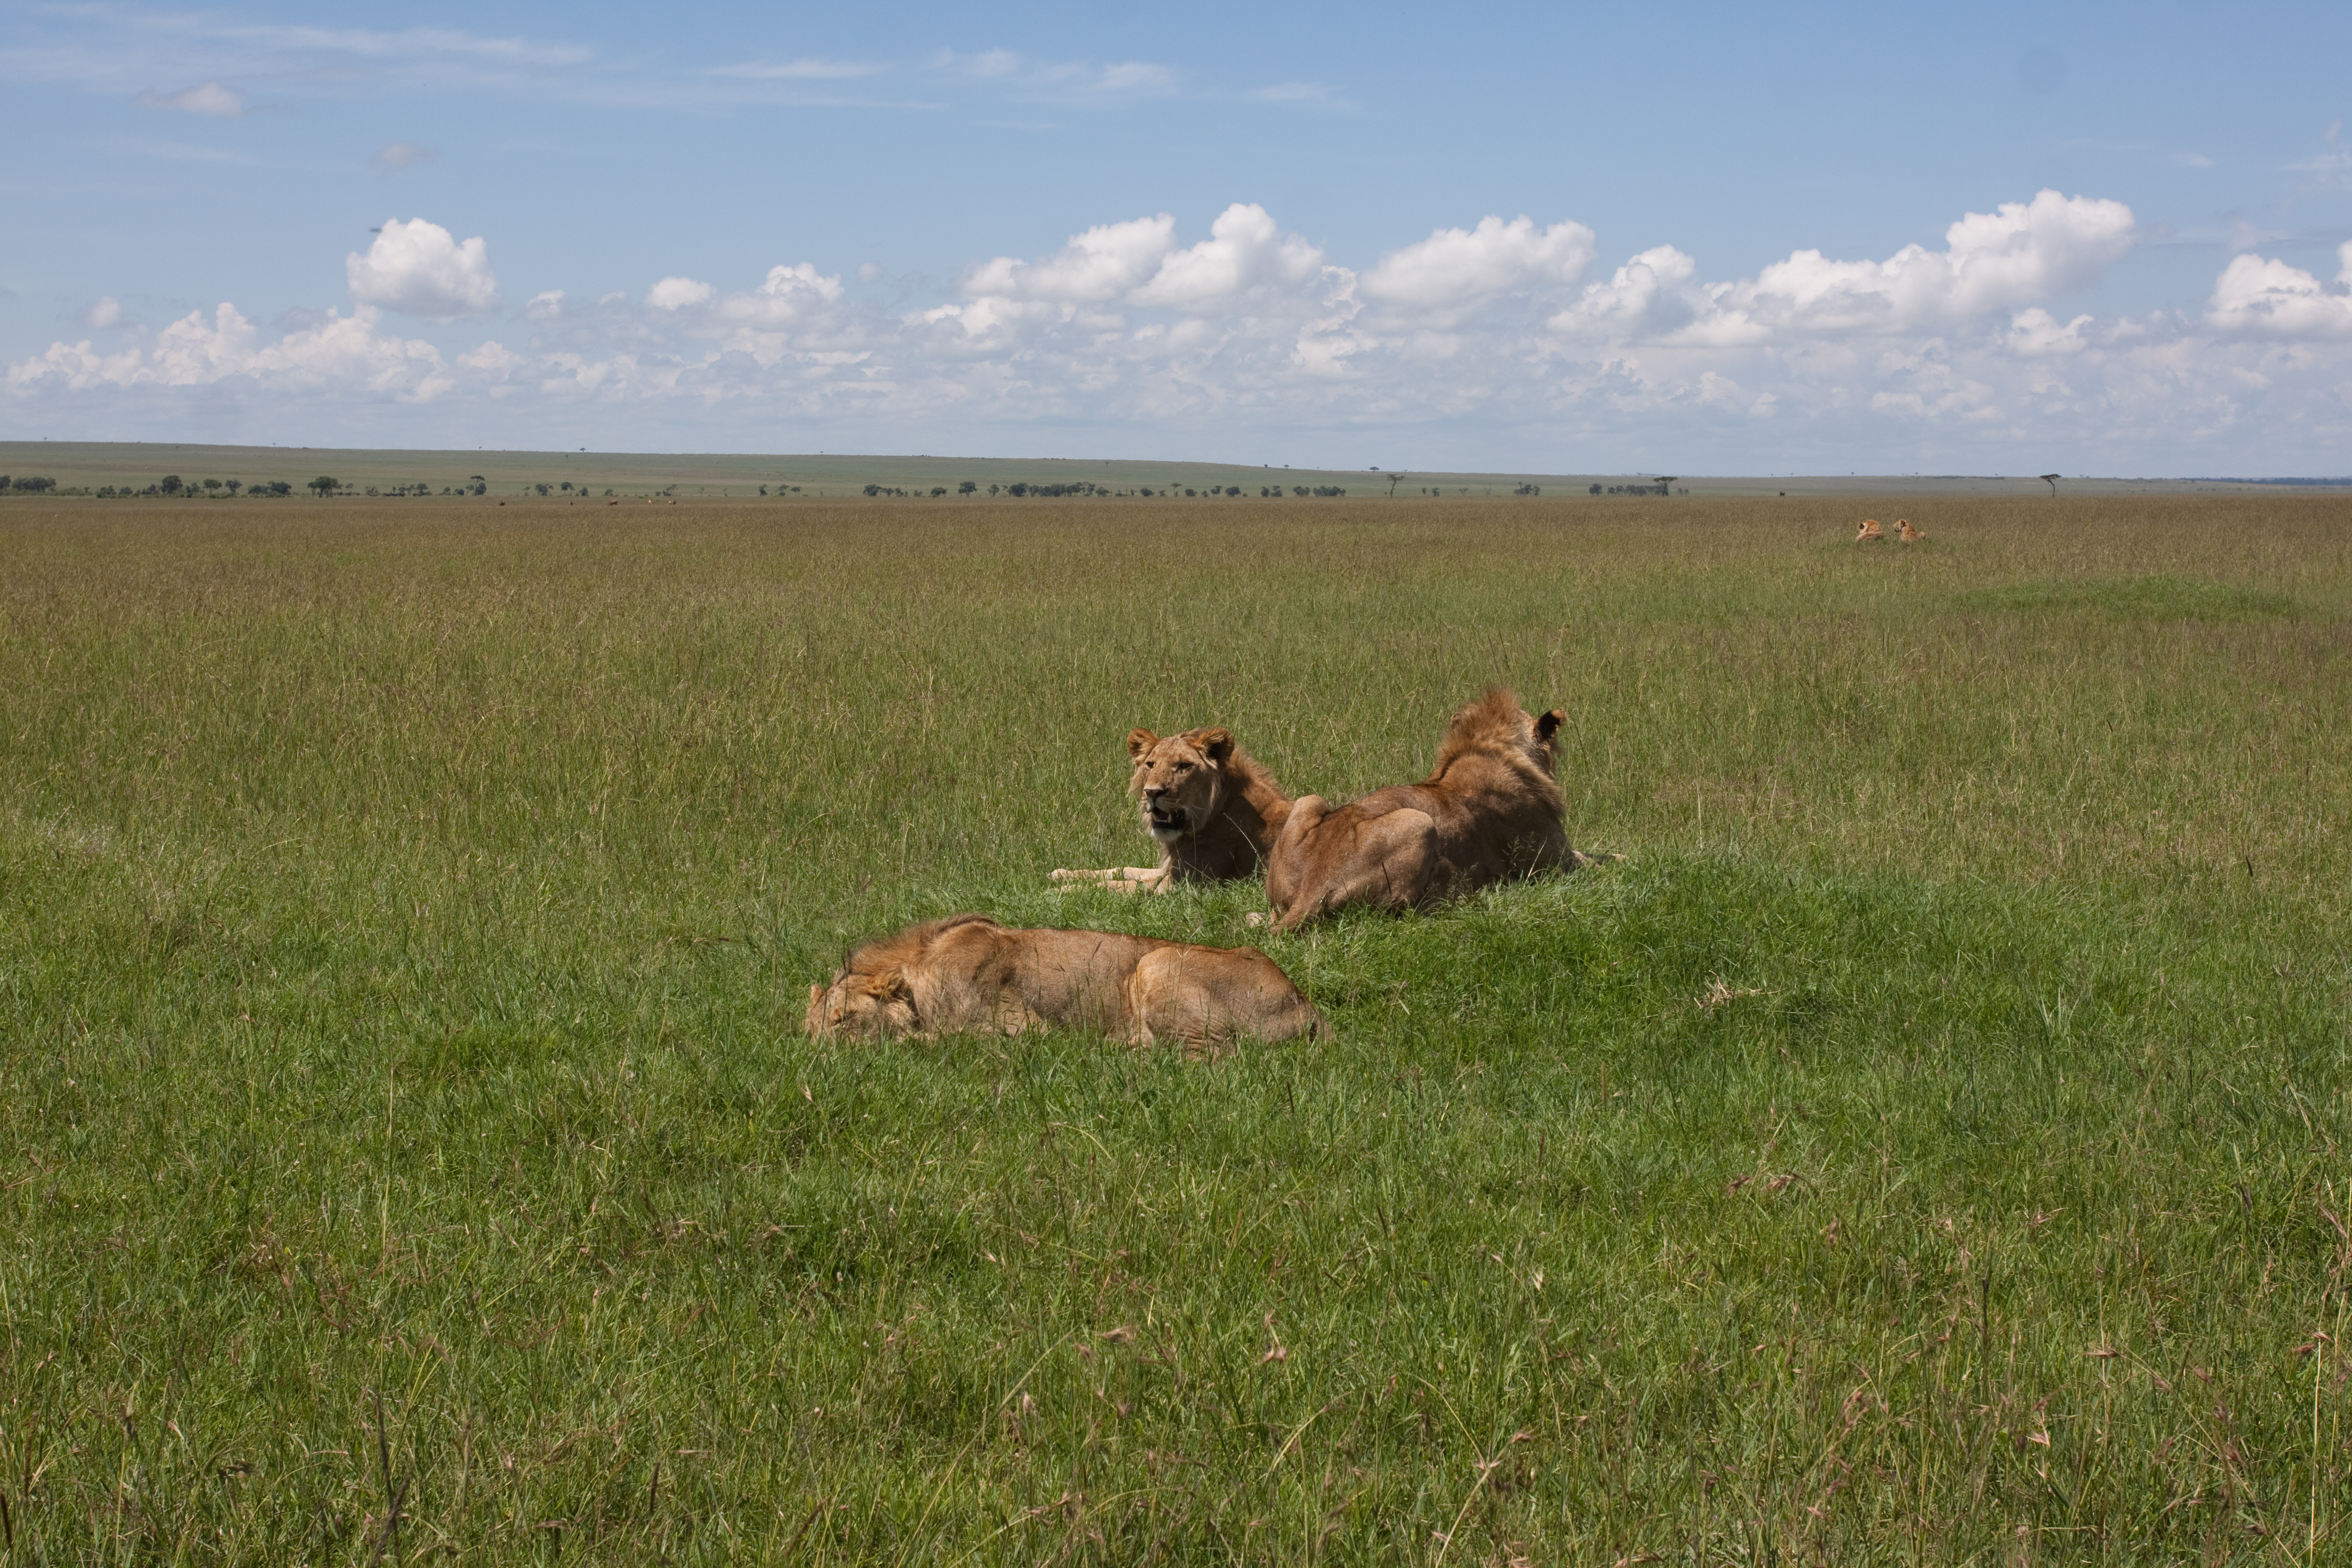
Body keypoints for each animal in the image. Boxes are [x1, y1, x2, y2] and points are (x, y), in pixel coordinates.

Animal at [804, 914, 1324, 1055]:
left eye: (845, 1020)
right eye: (808, 1031)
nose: (817, 1060)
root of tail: (1305, 1000)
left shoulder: (1022, 1028)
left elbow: (951, 1038)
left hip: (1157, 962)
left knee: (1215, 1056)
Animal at [1050, 725, 1292, 894]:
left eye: (1184, 766)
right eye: (1151, 765)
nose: (1152, 792)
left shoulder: (1190, 882)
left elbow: (1123, 885)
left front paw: (1066, 891)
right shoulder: (1170, 868)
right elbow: (1125, 870)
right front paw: (1064, 874)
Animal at [1262, 688, 1604, 932]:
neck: (1491, 750)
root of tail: (1310, 892)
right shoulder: (1556, 864)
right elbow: (1606, 862)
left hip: (1310, 800)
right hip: (1418, 821)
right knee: (1404, 911)